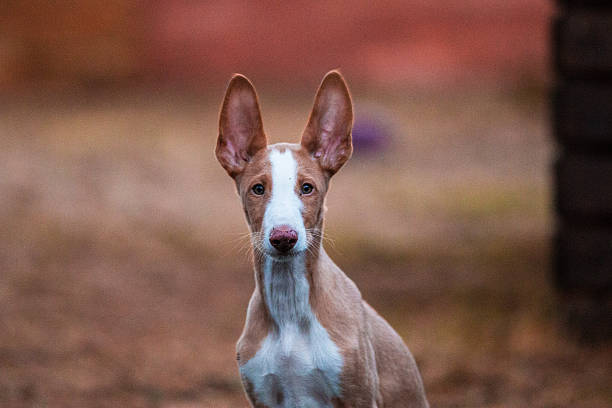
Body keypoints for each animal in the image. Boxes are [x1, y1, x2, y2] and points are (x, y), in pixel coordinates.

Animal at [218, 71, 428, 408]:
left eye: (307, 188)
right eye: (258, 189)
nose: (284, 238)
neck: (289, 303)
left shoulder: (358, 395)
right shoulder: (263, 396)